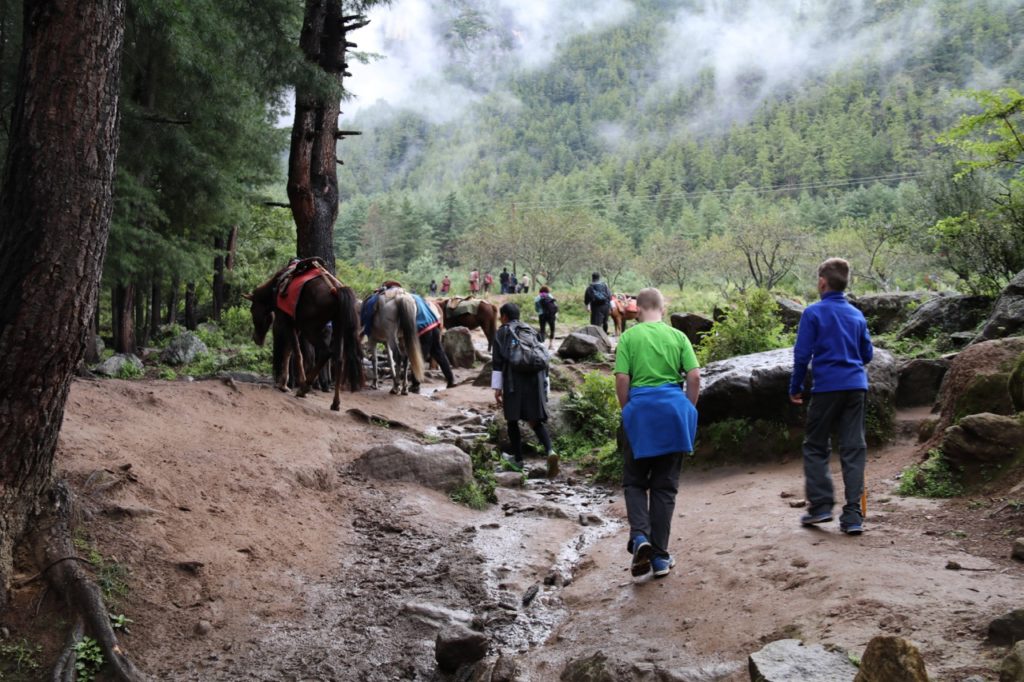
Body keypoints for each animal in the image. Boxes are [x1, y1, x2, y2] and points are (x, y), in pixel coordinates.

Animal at [243, 268, 364, 411]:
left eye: (252, 310)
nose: (256, 338)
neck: (275, 288)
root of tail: (337, 289)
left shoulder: (287, 322)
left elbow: (296, 353)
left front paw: (293, 383)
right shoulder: (295, 325)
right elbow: (289, 352)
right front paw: (284, 384)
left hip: (310, 329)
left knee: (325, 353)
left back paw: (304, 388)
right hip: (338, 327)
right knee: (339, 360)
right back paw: (335, 403)